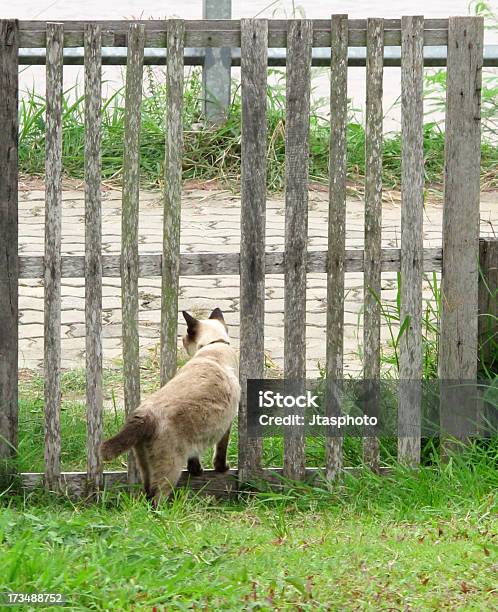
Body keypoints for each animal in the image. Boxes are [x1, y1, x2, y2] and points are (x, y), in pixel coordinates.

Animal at [101, 308, 239, 504]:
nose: (182, 341)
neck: (214, 346)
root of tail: (144, 416)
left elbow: (194, 458)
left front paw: (197, 471)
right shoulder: (226, 425)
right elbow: (220, 451)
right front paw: (222, 469)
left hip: (145, 465)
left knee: (147, 493)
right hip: (171, 467)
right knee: (158, 497)